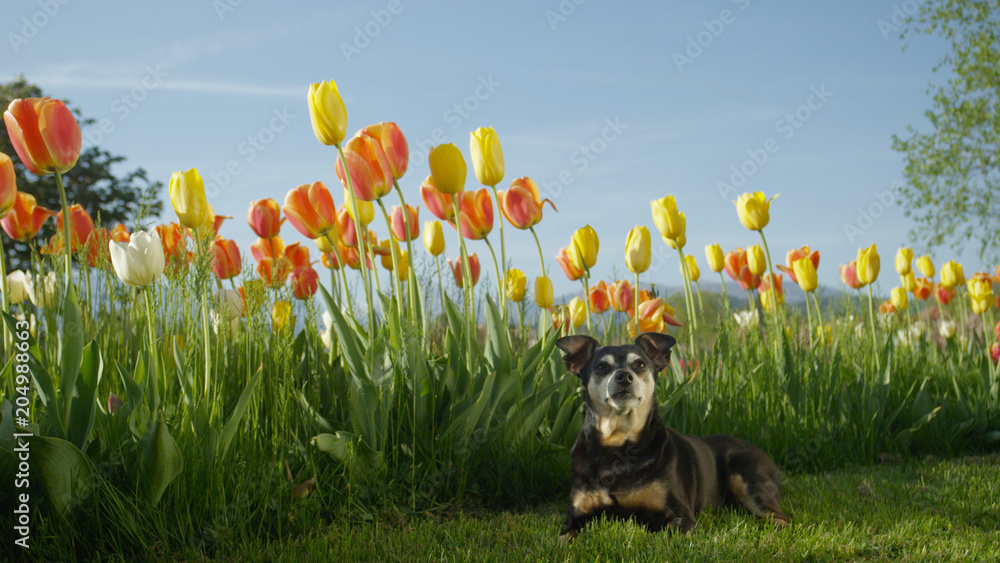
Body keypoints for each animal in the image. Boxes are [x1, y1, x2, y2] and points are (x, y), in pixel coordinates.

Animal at [556, 332, 788, 540]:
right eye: (601, 367)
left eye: (640, 365)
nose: (624, 377)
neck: (620, 444)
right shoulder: (575, 517)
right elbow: (564, 539)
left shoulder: (680, 516)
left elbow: (663, 538)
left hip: (747, 478)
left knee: (782, 518)